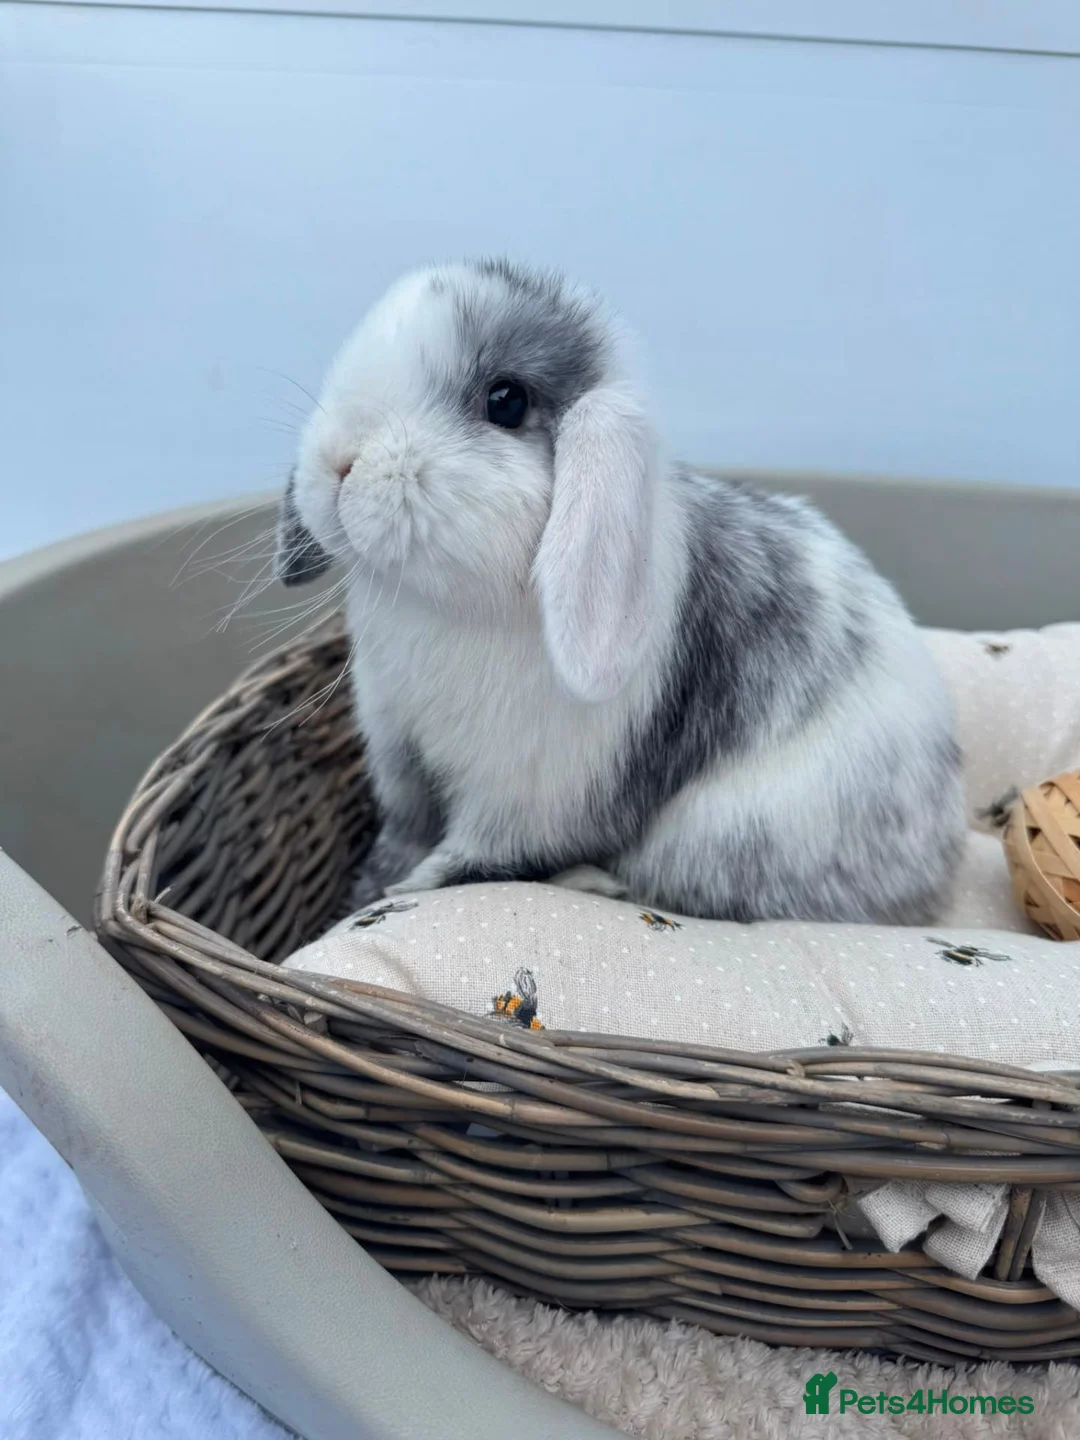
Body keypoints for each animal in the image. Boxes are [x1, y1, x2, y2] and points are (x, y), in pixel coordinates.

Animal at [275, 258, 965, 924]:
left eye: (505, 401)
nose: (338, 462)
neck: (443, 609)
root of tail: (942, 866)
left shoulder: (522, 803)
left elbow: (468, 864)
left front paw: (399, 893)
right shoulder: (401, 763)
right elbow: (405, 837)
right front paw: (371, 886)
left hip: (716, 839)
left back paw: (590, 881)